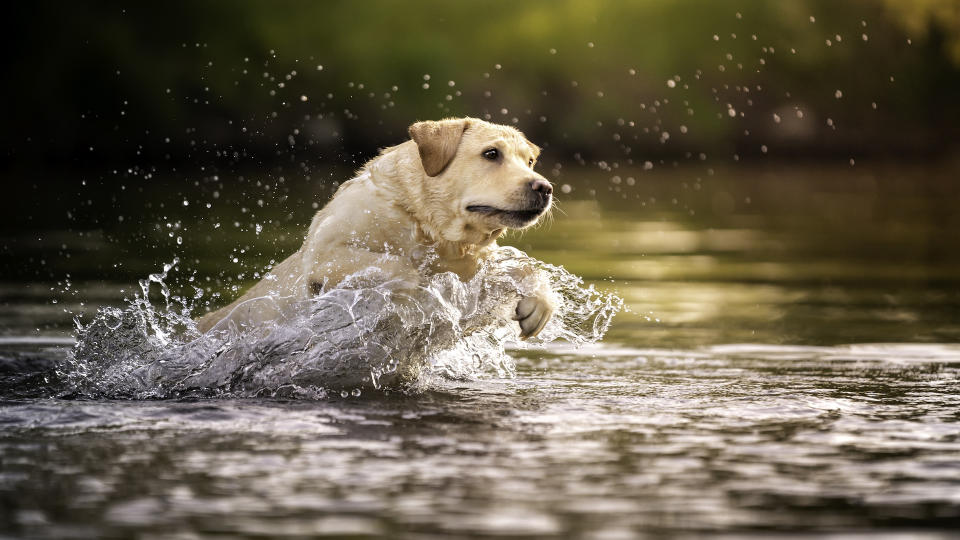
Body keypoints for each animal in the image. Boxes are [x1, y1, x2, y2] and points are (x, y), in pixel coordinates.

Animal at [195, 117, 556, 338]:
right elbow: (405, 269)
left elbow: (524, 264)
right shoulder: (326, 254)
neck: (423, 224)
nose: (544, 187)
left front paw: (540, 304)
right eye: (491, 154)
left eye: (529, 161)